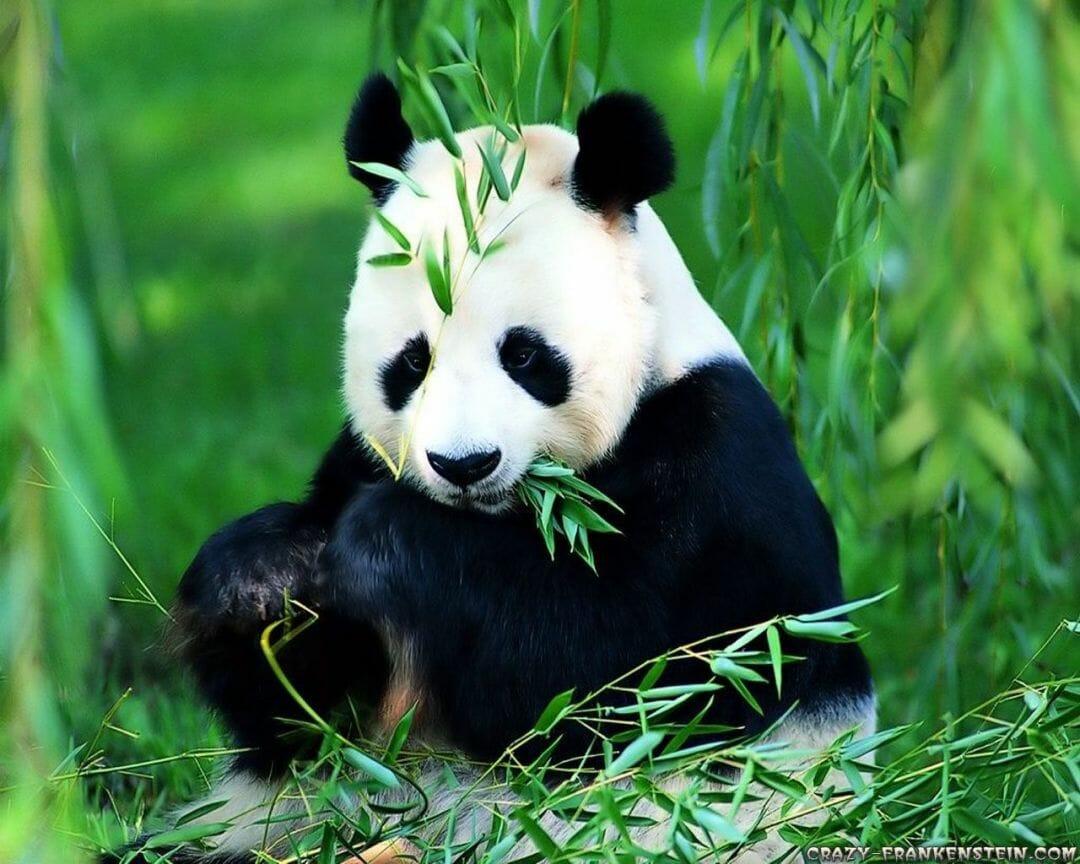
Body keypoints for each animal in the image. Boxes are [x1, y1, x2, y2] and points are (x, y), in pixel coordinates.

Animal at [107, 73, 874, 862]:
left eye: (525, 355)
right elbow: (309, 717)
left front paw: (385, 541)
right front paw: (261, 575)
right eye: (413, 362)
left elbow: (613, 677)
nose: (464, 464)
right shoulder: (357, 458)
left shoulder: (716, 471)